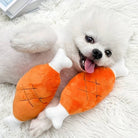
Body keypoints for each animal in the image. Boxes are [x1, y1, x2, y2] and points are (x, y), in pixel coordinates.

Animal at [0, 6, 132, 136]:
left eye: (108, 53)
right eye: (89, 39)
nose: (98, 53)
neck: (70, 61)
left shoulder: (58, 93)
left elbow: (55, 107)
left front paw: (40, 124)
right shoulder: (36, 28)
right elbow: (49, 36)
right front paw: (19, 42)